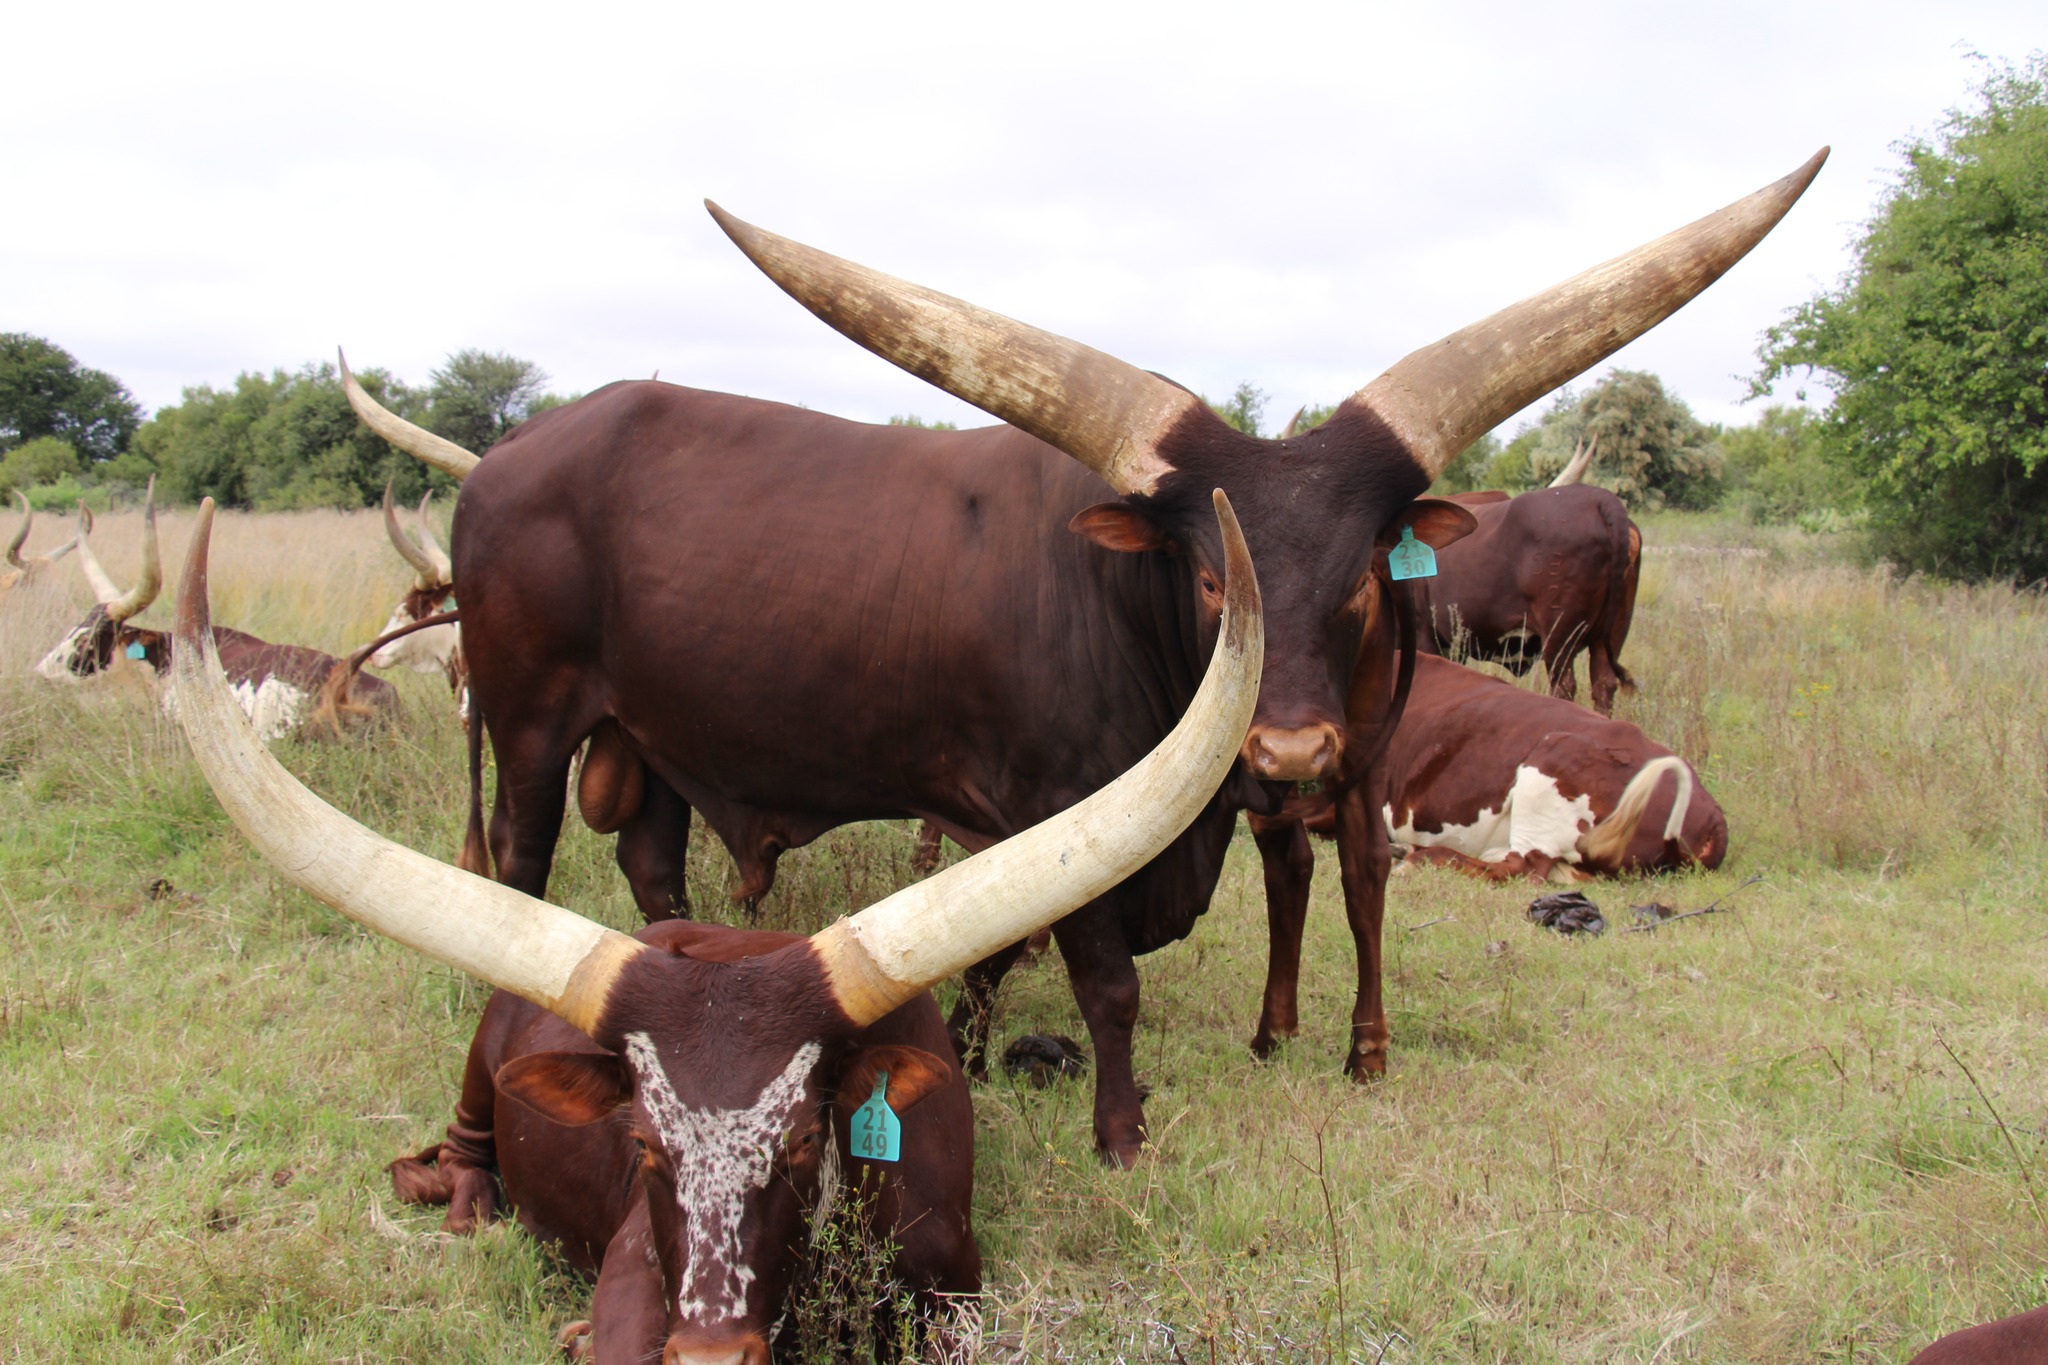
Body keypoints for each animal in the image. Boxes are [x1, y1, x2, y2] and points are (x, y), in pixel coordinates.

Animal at [169, 493, 1263, 1362]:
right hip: (483, 1068)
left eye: (799, 1144)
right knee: (448, 1160)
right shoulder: (635, 1279)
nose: (708, 1353)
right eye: (644, 1148)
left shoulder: (957, 1284)